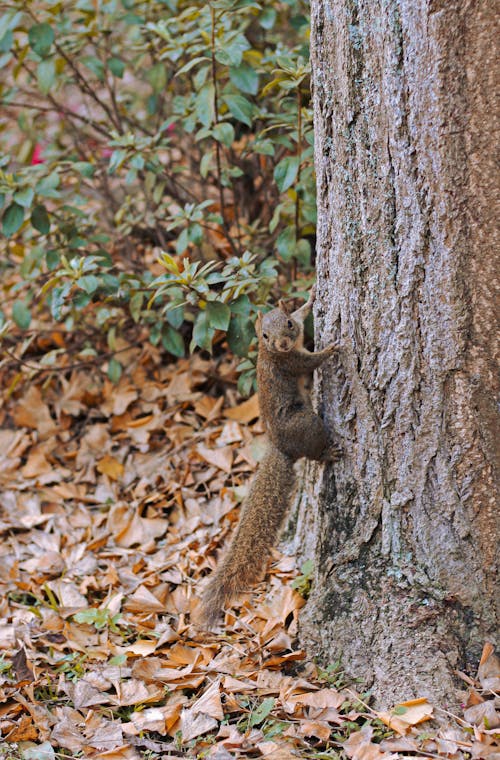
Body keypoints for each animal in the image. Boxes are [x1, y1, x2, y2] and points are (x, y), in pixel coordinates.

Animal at [197, 288, 342, 628]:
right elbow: (311, 361)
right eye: (263, 335)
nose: (282, 343)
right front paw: (331, 349)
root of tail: (280, 446)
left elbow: (304, 315)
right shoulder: (291, 362)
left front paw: (310, 298)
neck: (269, 353)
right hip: (307, 424)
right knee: (313, 453)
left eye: (287, 323)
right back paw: (328, 453)